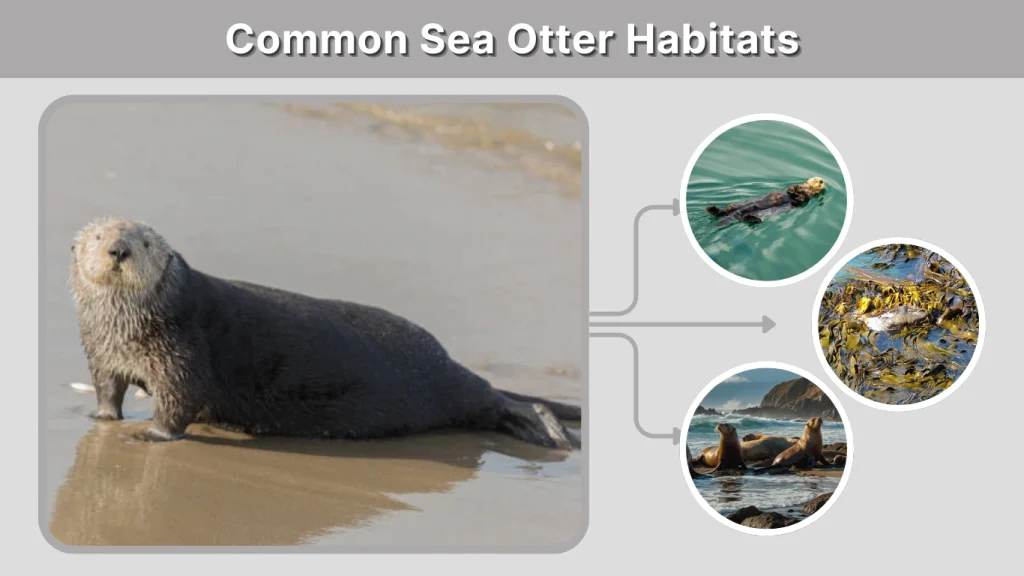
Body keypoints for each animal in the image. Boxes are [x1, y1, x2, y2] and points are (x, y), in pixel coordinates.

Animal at [68, 218, 581, 450]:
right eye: (97, 237)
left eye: (144, 242)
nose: (118, 249)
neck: (127, 334)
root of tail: (448, 360)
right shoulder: (102, 354)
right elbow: (107, 388)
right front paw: (102, 418)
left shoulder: (184, 350)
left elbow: (181, 398)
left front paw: (152, 434)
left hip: (444, 387)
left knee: (495, 399)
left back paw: (548, 431)